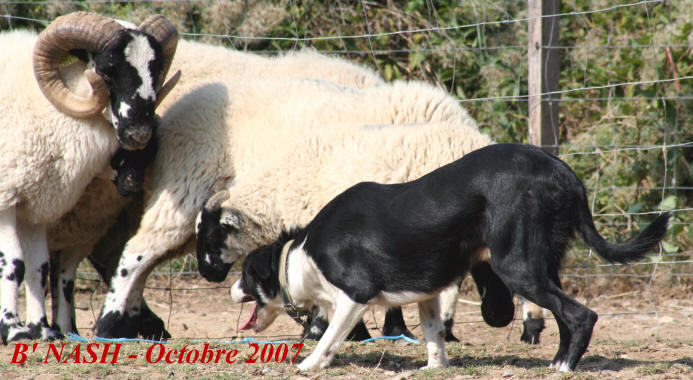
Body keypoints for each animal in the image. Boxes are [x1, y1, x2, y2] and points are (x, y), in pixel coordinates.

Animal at [0, 12, 178, 344]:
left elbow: (39, 268)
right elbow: (14, 263)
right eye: (106, 69)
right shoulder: (6, 198)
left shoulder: (39, 204)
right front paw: (13, 329)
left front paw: (43, 329)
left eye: (156, 68)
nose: (139, 133)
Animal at [230, 143, 668, 372]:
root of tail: (558, 167)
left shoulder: (355, 296)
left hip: (517, 270)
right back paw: (558, 360)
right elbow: (433, 335)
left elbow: (330, 337)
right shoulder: (424, 295)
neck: (299, 257)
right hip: (542, 268)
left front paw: (309, 365)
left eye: (246, 275)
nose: (231, 289)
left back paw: (564, 366)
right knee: (564, 314)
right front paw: (435, 367)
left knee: (582, 314)